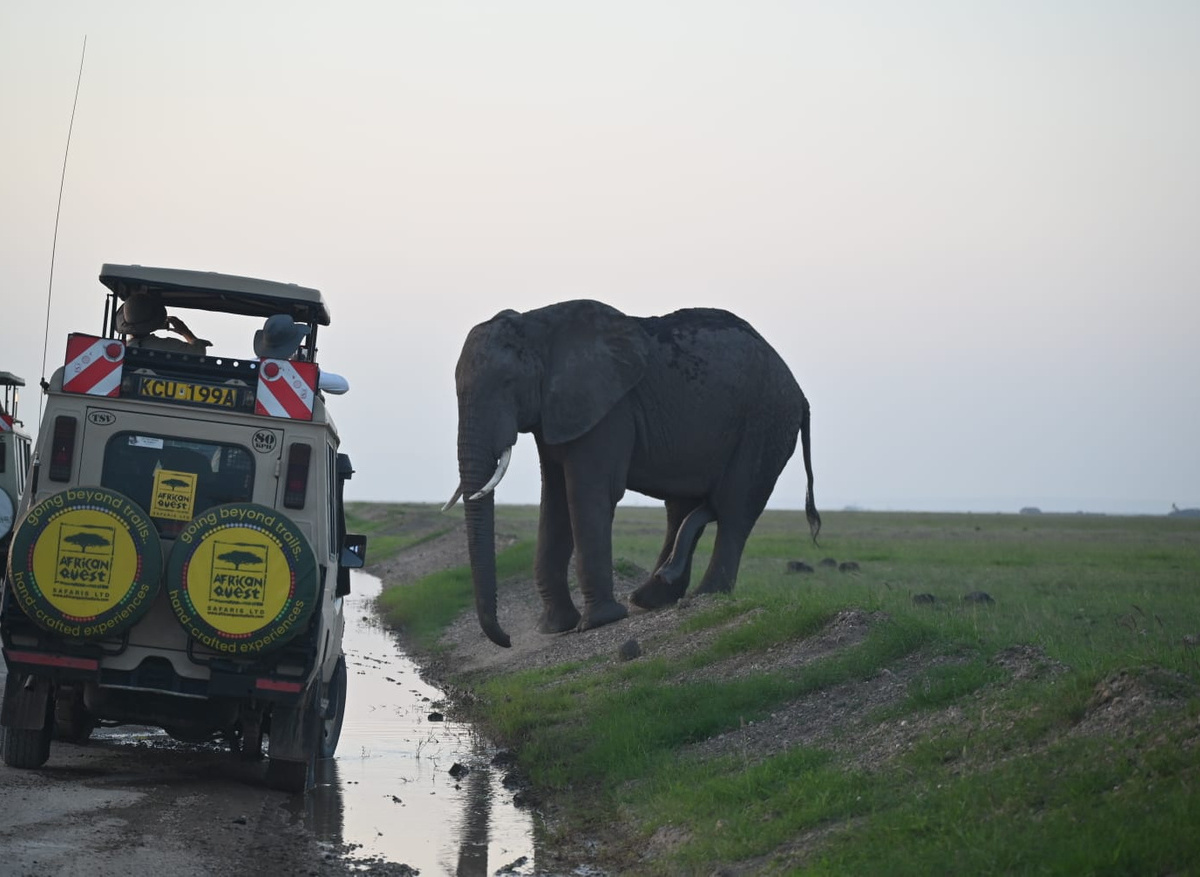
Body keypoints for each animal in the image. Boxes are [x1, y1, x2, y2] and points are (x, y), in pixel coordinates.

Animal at [444, 299, 820, 648]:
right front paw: (556, 627)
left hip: (764, 424)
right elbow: (555, 499)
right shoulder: (557, 411)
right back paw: (651, 596)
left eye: (508, 382)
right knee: (682, 508)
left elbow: (588, 492)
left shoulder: (609, 408)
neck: (537, 324)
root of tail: (801, 394)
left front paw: (598, 622)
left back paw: (704, 595)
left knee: (734, 509)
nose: (507, 639)